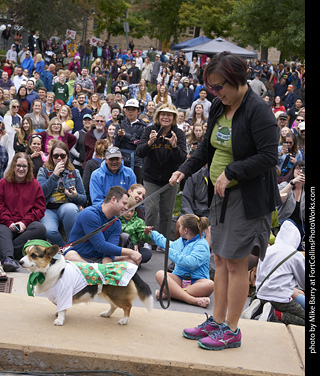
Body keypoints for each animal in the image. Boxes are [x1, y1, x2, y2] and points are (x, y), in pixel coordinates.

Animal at [19, 242, 153, 324]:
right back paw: (107, 314)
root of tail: (133, 270)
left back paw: (124, 320)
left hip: (117, 296)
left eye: (34, 255)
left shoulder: (64, 295)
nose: (20, 262)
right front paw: (58, 314)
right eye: (25, 253)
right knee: (114, 306)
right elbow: (61, 308)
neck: (48, 268)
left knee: (128, 307)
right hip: (109, 295)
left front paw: (60, 320)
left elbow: (62, 310)